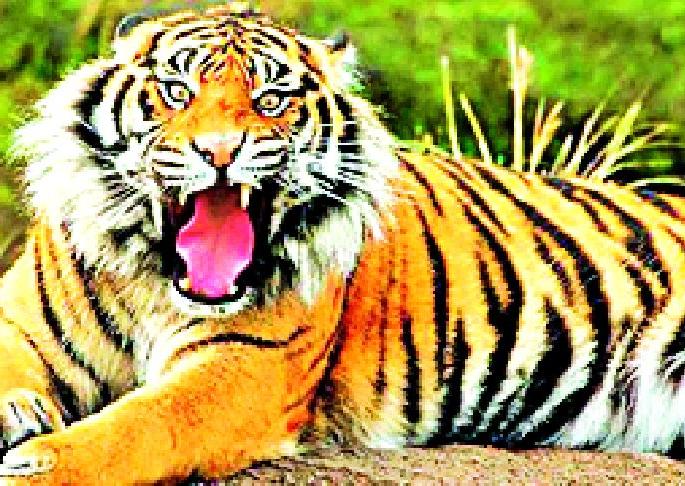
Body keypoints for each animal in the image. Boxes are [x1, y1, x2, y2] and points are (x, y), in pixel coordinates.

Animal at [1, 2, 685, 484]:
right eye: (177, 92)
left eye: (271, 99)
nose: (219, 151)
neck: (154, 278)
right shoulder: (21, 320)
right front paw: (19, 418)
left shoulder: (243, 366)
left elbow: (139, 428)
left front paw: (35, 464)